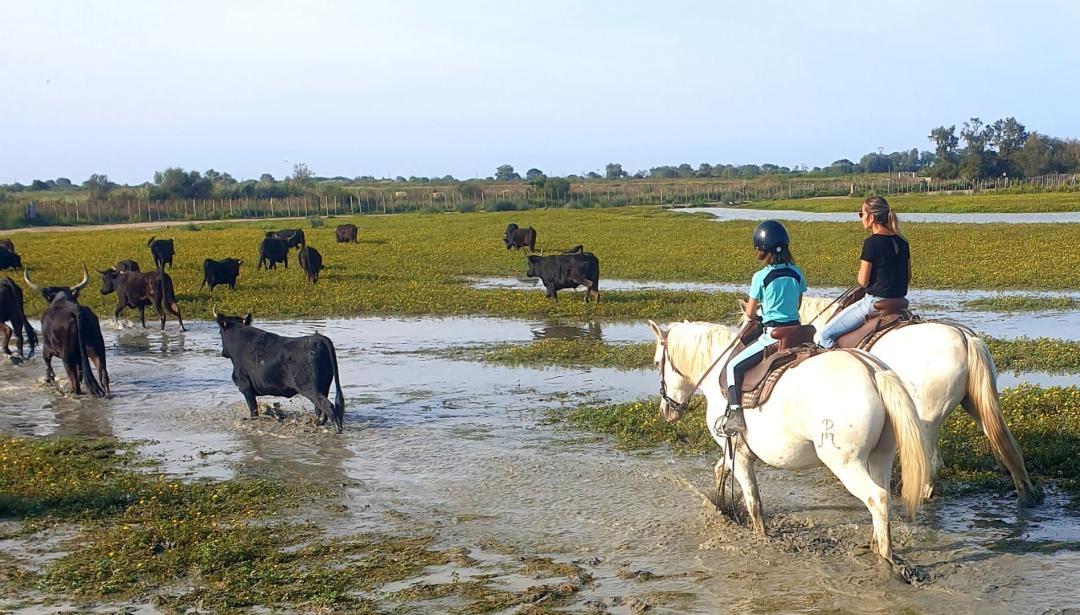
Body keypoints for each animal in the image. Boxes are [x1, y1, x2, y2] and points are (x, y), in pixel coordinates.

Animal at [23, 265, 110, 395]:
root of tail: (75, 310)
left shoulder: (47, 349)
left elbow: (47, 363)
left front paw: (49, 378)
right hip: (97, 349)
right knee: (103, 375)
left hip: (67, 357)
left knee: (75, 383)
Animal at [212, 306, 343, 432]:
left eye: (220, 331)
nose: (223, 353)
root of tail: (320, 339)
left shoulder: (245, 387)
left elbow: (253, 410)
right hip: (323, 386)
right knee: (321, 408)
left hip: (310, 387)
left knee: (327, 406)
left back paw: (336, 429)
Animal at [643, 322, 933, 575]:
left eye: (657, 363)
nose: (666, 410)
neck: (719, 376)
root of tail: (872, 370)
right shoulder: (735, 449)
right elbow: (720, 470)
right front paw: (719, 506)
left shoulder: (739, 452)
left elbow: (753, 501)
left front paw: (760, 536)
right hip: (881, 456)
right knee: (883, 496)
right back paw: (875, 544)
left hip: (846, 464)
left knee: (877, 498)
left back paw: (886, 557)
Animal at [790, 293, 1041, 505]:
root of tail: (965, 338)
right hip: (977, 405)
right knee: (1006, 444)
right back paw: (1026, 494)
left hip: (928, 418)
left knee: (933, 463)